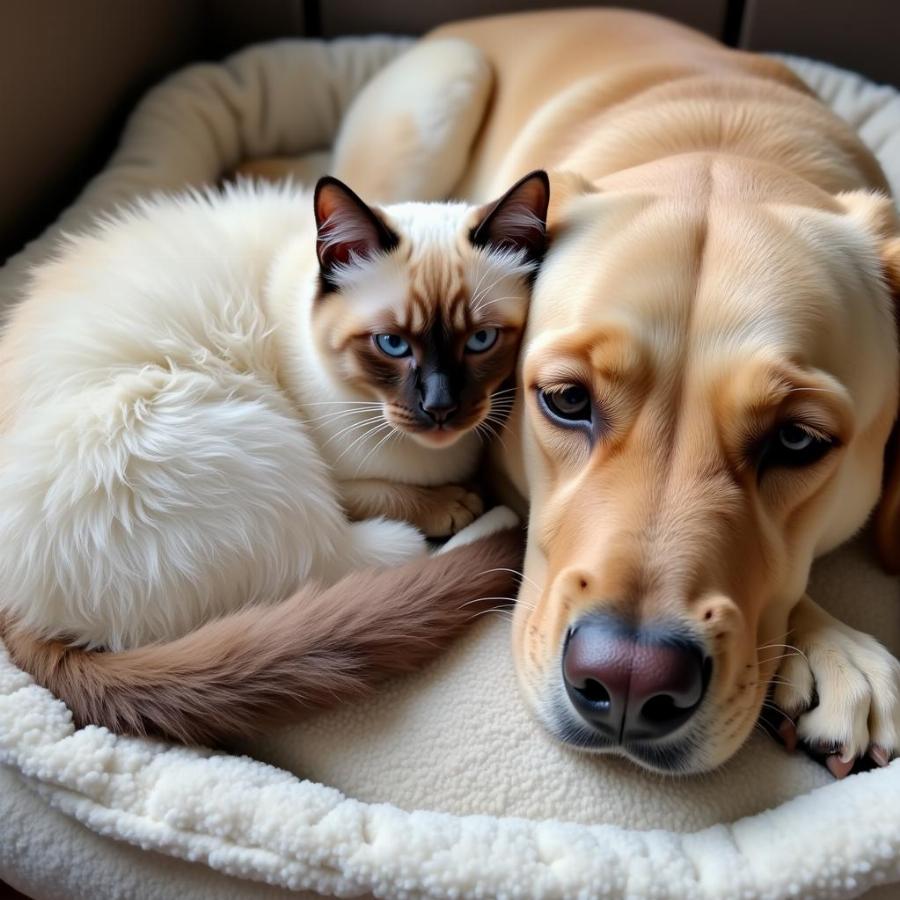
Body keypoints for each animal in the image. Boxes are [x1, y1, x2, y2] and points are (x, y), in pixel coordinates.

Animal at [332, 10, 900, 776]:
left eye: (797, 439)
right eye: (567, 400)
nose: (629, 681)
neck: (723, 138)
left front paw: (830, 644)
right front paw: (832, 643)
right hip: (445, 87)